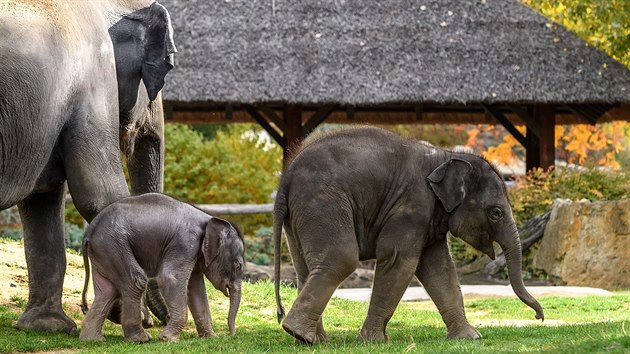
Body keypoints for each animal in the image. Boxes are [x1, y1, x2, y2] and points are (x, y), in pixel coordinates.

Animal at [1, 0, 178, 334]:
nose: (154, 323)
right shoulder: (93, 82)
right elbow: (99, 195)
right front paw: (127, 316)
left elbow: (42, 200)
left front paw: (47, 326)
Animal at [79, 192, 247, 342]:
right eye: (238, 266)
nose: (231, 335)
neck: (208, 218)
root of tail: (89, 232)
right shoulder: (184, 243)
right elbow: (170, 279)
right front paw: (168, 339)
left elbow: (196, 289)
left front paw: (210, 338)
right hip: (113, 245)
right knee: (136, 281)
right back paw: (140, 339)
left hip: (104, 251)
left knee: (107, 291)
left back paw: (93, 340)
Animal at [274, 126, 544, 342]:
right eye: (496, 213)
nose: (538, 317)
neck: (446, 156)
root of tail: (285, 179)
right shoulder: (412, 207)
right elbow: (399, 261)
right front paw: (374, 342)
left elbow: (439, 269)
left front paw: (470, 338)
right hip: (322, 202)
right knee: (341, 258)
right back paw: (300, 333)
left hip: (301, 215)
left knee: (306, 267)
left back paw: (311, 340)